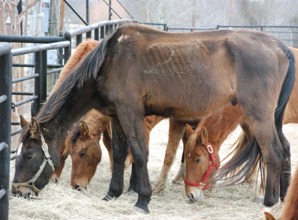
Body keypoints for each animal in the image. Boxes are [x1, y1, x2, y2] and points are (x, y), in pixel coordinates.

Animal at [12, 23, 296, 212]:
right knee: (282, 149)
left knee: (272, 151)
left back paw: (268, 202)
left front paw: (142, 199)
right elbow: (119, 153)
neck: (110, 60)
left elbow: (139, 154)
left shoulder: (131, 114)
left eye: (28, 155)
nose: (18, 191)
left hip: (258, 116)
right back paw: (281, 199)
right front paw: (112, 194)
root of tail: (280, 47)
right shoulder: (116, 115)